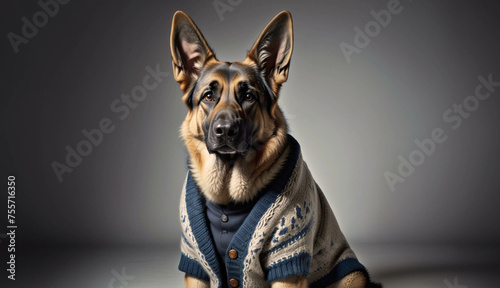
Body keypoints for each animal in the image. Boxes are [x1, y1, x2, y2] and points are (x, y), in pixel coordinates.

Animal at [170, 10, 380, 286]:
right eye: (208, 96)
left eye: (249, 97)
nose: (225, 130)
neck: (228, 196)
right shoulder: (195, 263)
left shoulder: (288, 258)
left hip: (351, 277)